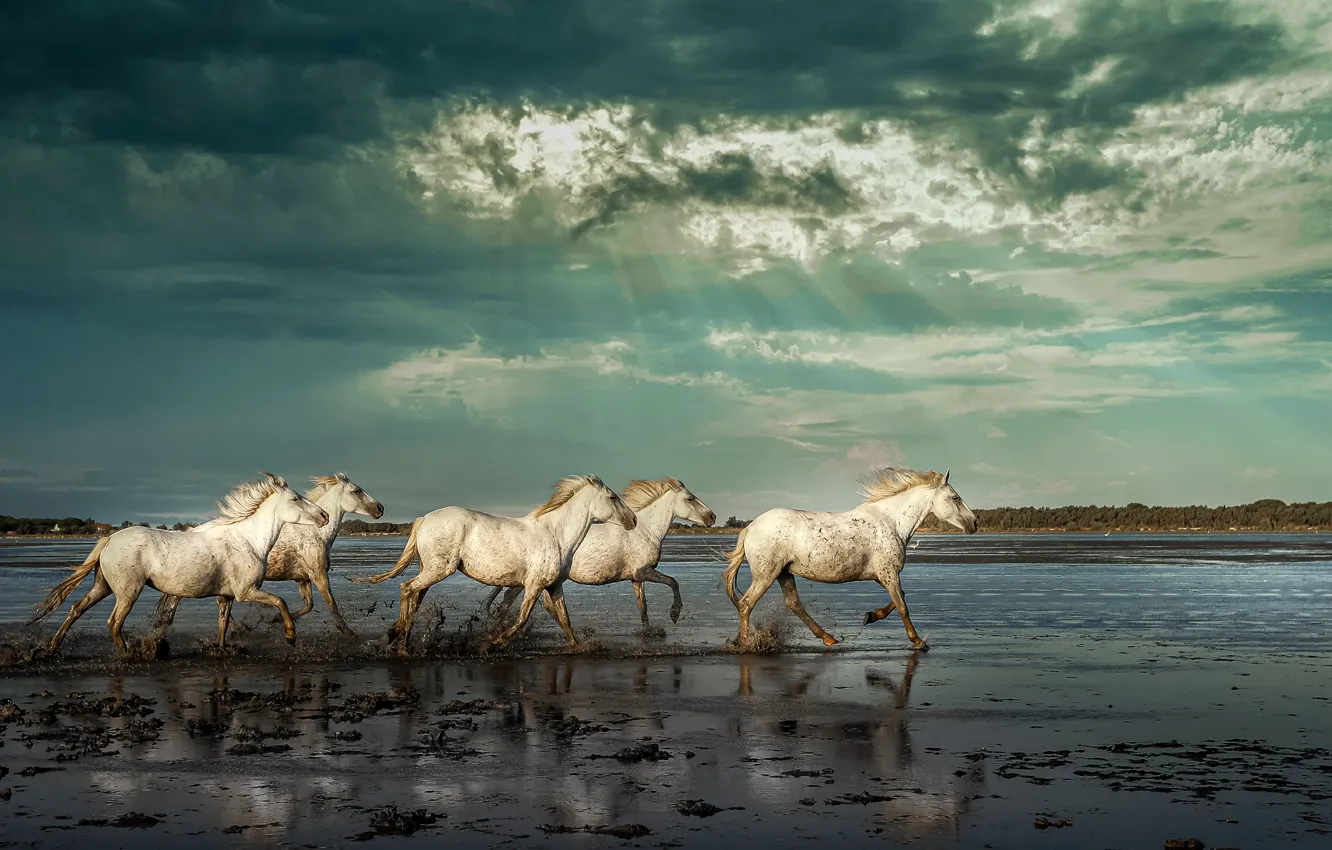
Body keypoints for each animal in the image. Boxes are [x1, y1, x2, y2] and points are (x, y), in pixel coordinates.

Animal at [30, 472, 329, 656]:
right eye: (295, 498)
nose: (324, 516)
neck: (248, 540)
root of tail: (110, 538)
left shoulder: (226, 596)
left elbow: (223, 624)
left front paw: (221, 649)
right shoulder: (246, 592)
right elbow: (281, 602)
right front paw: (290, 636)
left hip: (103, 586)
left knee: (76, 609)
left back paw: (51, 648)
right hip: (128, 591)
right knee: (113, 622)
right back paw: (129, 654)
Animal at [155, 472, 384, 641]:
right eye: (357, 490)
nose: (380, 508)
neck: (315, 533)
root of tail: (192, 531)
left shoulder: (302, 579)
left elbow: (308, 606)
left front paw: (276, 621)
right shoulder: (318, 574)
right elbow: (331, 604)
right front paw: (349, 632)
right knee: (175, 602)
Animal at [351, 474, 637, 655]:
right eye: (612, 497)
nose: (633, 520)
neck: (555, 534)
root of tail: (424, 519)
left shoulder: (554, 586)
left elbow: (565, 620)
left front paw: (579, 647)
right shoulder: (533, 585)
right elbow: (521, 618)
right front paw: (490, 644)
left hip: (430, 570)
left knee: (415, 597)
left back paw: (402, 642)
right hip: (438, 569)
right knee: (406, 588)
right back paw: (396, 637)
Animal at [484, 477, 716, 628]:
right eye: (690, 498)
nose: (712, 517)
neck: (646, 530)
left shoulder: (636, 578)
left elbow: (643, 606)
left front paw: (650, 632)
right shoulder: (643, 572)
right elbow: (673, 582)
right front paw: (674, 614)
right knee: (508, 601)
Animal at [723, 467, 977, 650]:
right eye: (955, 497)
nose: (974, 523)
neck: (892, 523)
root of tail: (751, 527)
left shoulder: (881, 575)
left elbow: (899, 599)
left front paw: (871, 616)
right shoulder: (889, 573)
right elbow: (902, 606)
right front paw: (917, 641)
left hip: (784, 573)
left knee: (794, 604)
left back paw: (828, 638)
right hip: (766, 574)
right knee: (746, 604)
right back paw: (745, 644)